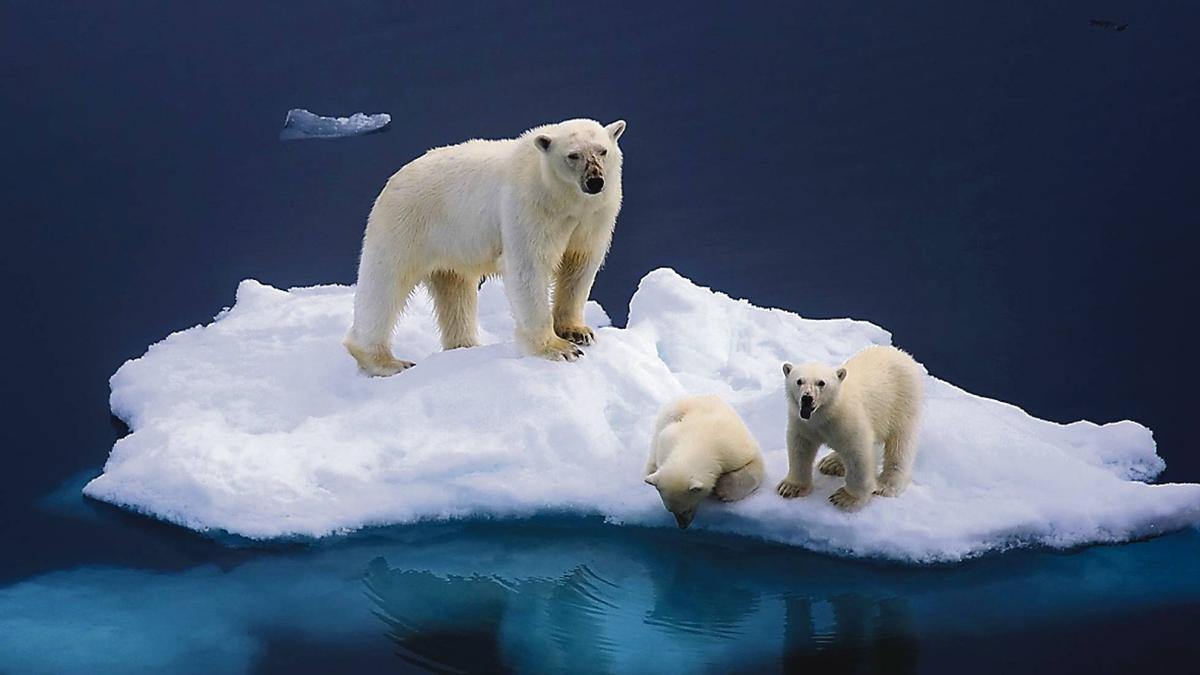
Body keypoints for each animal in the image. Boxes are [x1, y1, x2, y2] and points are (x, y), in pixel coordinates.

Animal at [345, 118, 628, 374]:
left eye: (602, 151)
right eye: (573, 155)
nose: (595, 181)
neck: (565, 200)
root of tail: (394, 178)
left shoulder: (595, 216)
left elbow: (580, 265)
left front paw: (578, 332)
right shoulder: (530, 206)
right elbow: (528, 267)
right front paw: (559, 349)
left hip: (450, 245)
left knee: (455, 292)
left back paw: (464, 346)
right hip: (406, 225)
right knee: (385, 285)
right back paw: (387, 361)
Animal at [643, 393, 763, 526]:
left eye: (686, 510)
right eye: (670, 510)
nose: (682, 526)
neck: (696, 441)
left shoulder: (734, 449)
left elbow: (754, 465)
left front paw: (723, 491)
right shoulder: (666, 442)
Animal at [772, 343, 921, 506]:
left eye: (821, 383)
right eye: (799, 381)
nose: (807, 398)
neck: (828, 412)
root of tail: (902, 353)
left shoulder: (849, 420)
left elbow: (858, 453)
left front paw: (846, 497)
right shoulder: (803, 424)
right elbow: (800, 448)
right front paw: (790, 487)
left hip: (903, 402)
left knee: (900, 444)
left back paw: (886, 485)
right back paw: (831, 463)